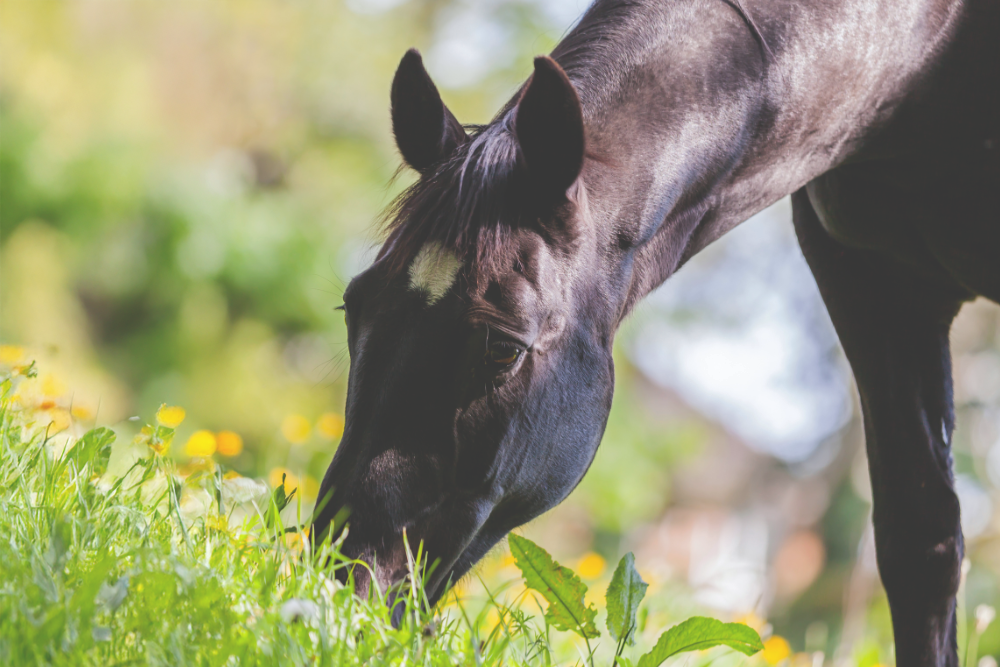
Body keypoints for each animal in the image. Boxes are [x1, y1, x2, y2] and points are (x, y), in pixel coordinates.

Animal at [314, 0, 1000, 664]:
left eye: (504, 347)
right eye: (354, 306)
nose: (340, 581)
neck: (928, 56)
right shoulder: (873, 283)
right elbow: (919, 545)